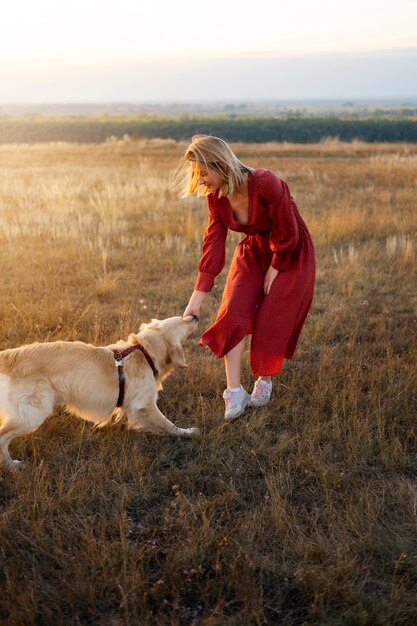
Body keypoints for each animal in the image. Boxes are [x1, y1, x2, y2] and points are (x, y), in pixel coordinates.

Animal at [0, 314, 200, 466]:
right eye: (183, 320)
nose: (195, 316)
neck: (144, 353)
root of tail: (9, 355)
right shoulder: (144, 406)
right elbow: (167, 424)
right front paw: (187, 432)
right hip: (32, 414)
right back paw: (12, 465)